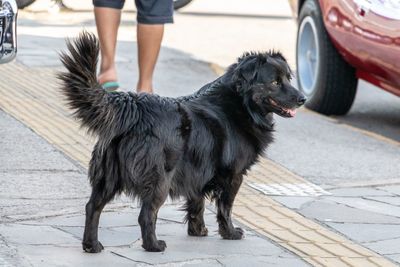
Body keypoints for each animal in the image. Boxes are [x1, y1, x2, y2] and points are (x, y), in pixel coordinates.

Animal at [57, 32, 304, 254]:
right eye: (275, 82)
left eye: (289, 78)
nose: (303, 99)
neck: (240, 103)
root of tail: (133, 106)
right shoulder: (233, 175)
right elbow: (225, 208)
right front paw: (230, 233)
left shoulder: (198, 169)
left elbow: (197, 203)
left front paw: (198, 230)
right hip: (159, 179)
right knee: (146, 214)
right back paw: (153, 246)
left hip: (108, 175)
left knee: (93, 207)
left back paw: (92, 245)